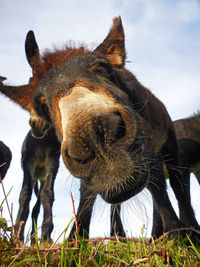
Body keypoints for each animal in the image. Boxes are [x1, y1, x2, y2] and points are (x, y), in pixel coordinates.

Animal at [0, 17, 199, 243]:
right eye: (42, 106)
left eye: (101, 69)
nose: (93, 137)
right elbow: (87, 194)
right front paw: (76, 240)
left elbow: (163, 185)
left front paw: (180, 236)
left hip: (168, 146)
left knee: (176, 185)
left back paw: (185, 230)